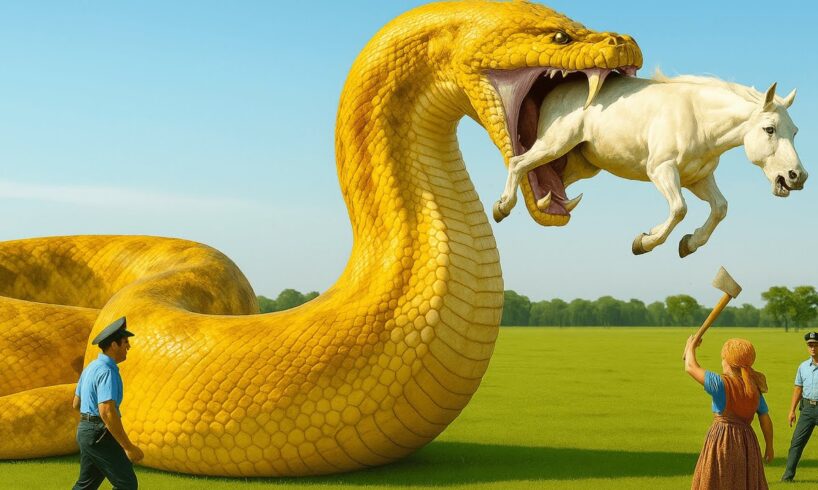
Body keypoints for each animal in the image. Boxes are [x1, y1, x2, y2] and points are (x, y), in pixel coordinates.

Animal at [492, 71, 807, 257]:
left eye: (795, 132)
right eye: (769, 129)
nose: (797, 176)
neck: (699, 117)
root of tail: (555, 92)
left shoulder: (697, 178)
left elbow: (720, 208)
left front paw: (689, 243)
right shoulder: (661, 170)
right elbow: (679, 209)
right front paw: (644, 242)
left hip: (581, 165)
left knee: (548, 179)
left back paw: (543, 206)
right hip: (555, 143)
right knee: (519, 163)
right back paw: (502, 207)